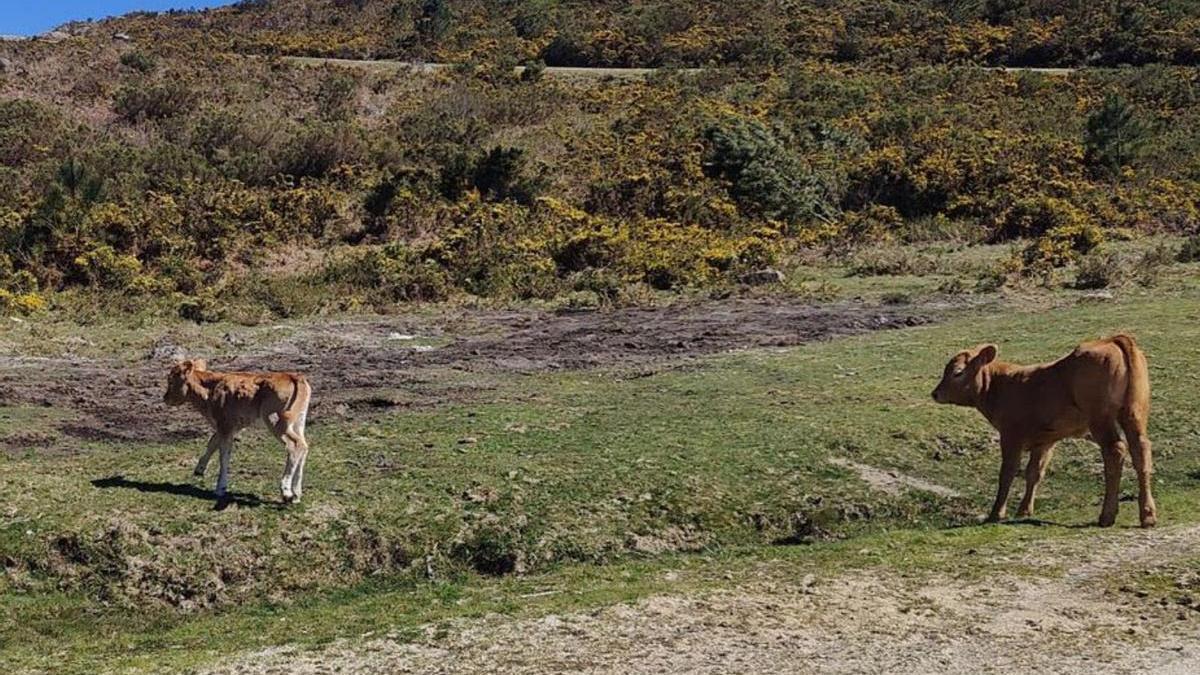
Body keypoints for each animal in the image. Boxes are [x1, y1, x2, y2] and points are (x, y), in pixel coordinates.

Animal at [164, 360, 314, 502]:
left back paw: (286, 491)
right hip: (298, 422)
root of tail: (293, 376)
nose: (165, 398)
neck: (211, 389)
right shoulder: (228, 427)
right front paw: (199, 469)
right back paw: (297, 493)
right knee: (304, 446)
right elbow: (212, 442)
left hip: (274, 420)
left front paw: (220, 488)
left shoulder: (225, 425)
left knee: (294, 445)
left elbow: (223, 456)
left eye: (170, 380)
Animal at [931, 333, 1156, 528]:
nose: (935, 393)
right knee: (1141, 449)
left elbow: (1008, 473)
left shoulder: (1011, 435)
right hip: (1135, 412)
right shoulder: (1045, 440)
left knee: (1115, 451)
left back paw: (1107, 515)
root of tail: (1112, 339)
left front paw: (996, 513)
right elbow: (1034, 472)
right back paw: (1147, 515)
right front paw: (1024, 510)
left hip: (1101, 418)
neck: (1002, 384)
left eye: (958, 372)